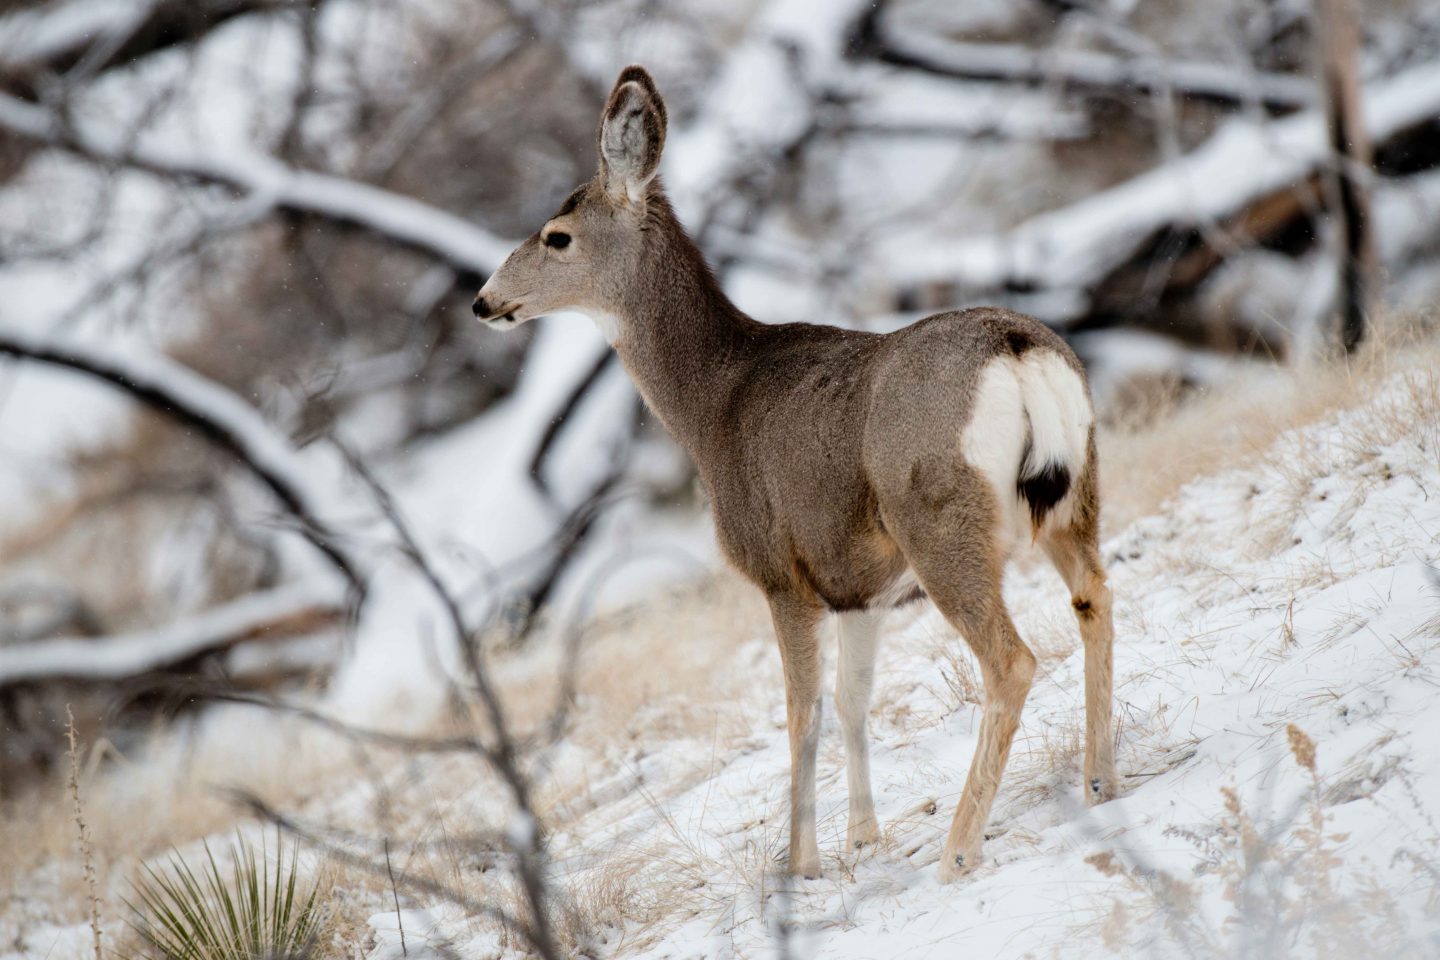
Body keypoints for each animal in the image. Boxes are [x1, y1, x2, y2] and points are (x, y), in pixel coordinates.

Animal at [472, 63, 1111, 880]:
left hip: (938, 519)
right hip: (1076, 489)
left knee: (1011, 661)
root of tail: (1017, 348)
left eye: (557, 237)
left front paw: (799, 863)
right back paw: (1101, 780)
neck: (713, 407)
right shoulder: (860, 589)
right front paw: (862, 838)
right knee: (1095, 597)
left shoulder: (780, 572)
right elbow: (850, 701)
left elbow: (799, 712)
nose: (484, 300)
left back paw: (959, 849)